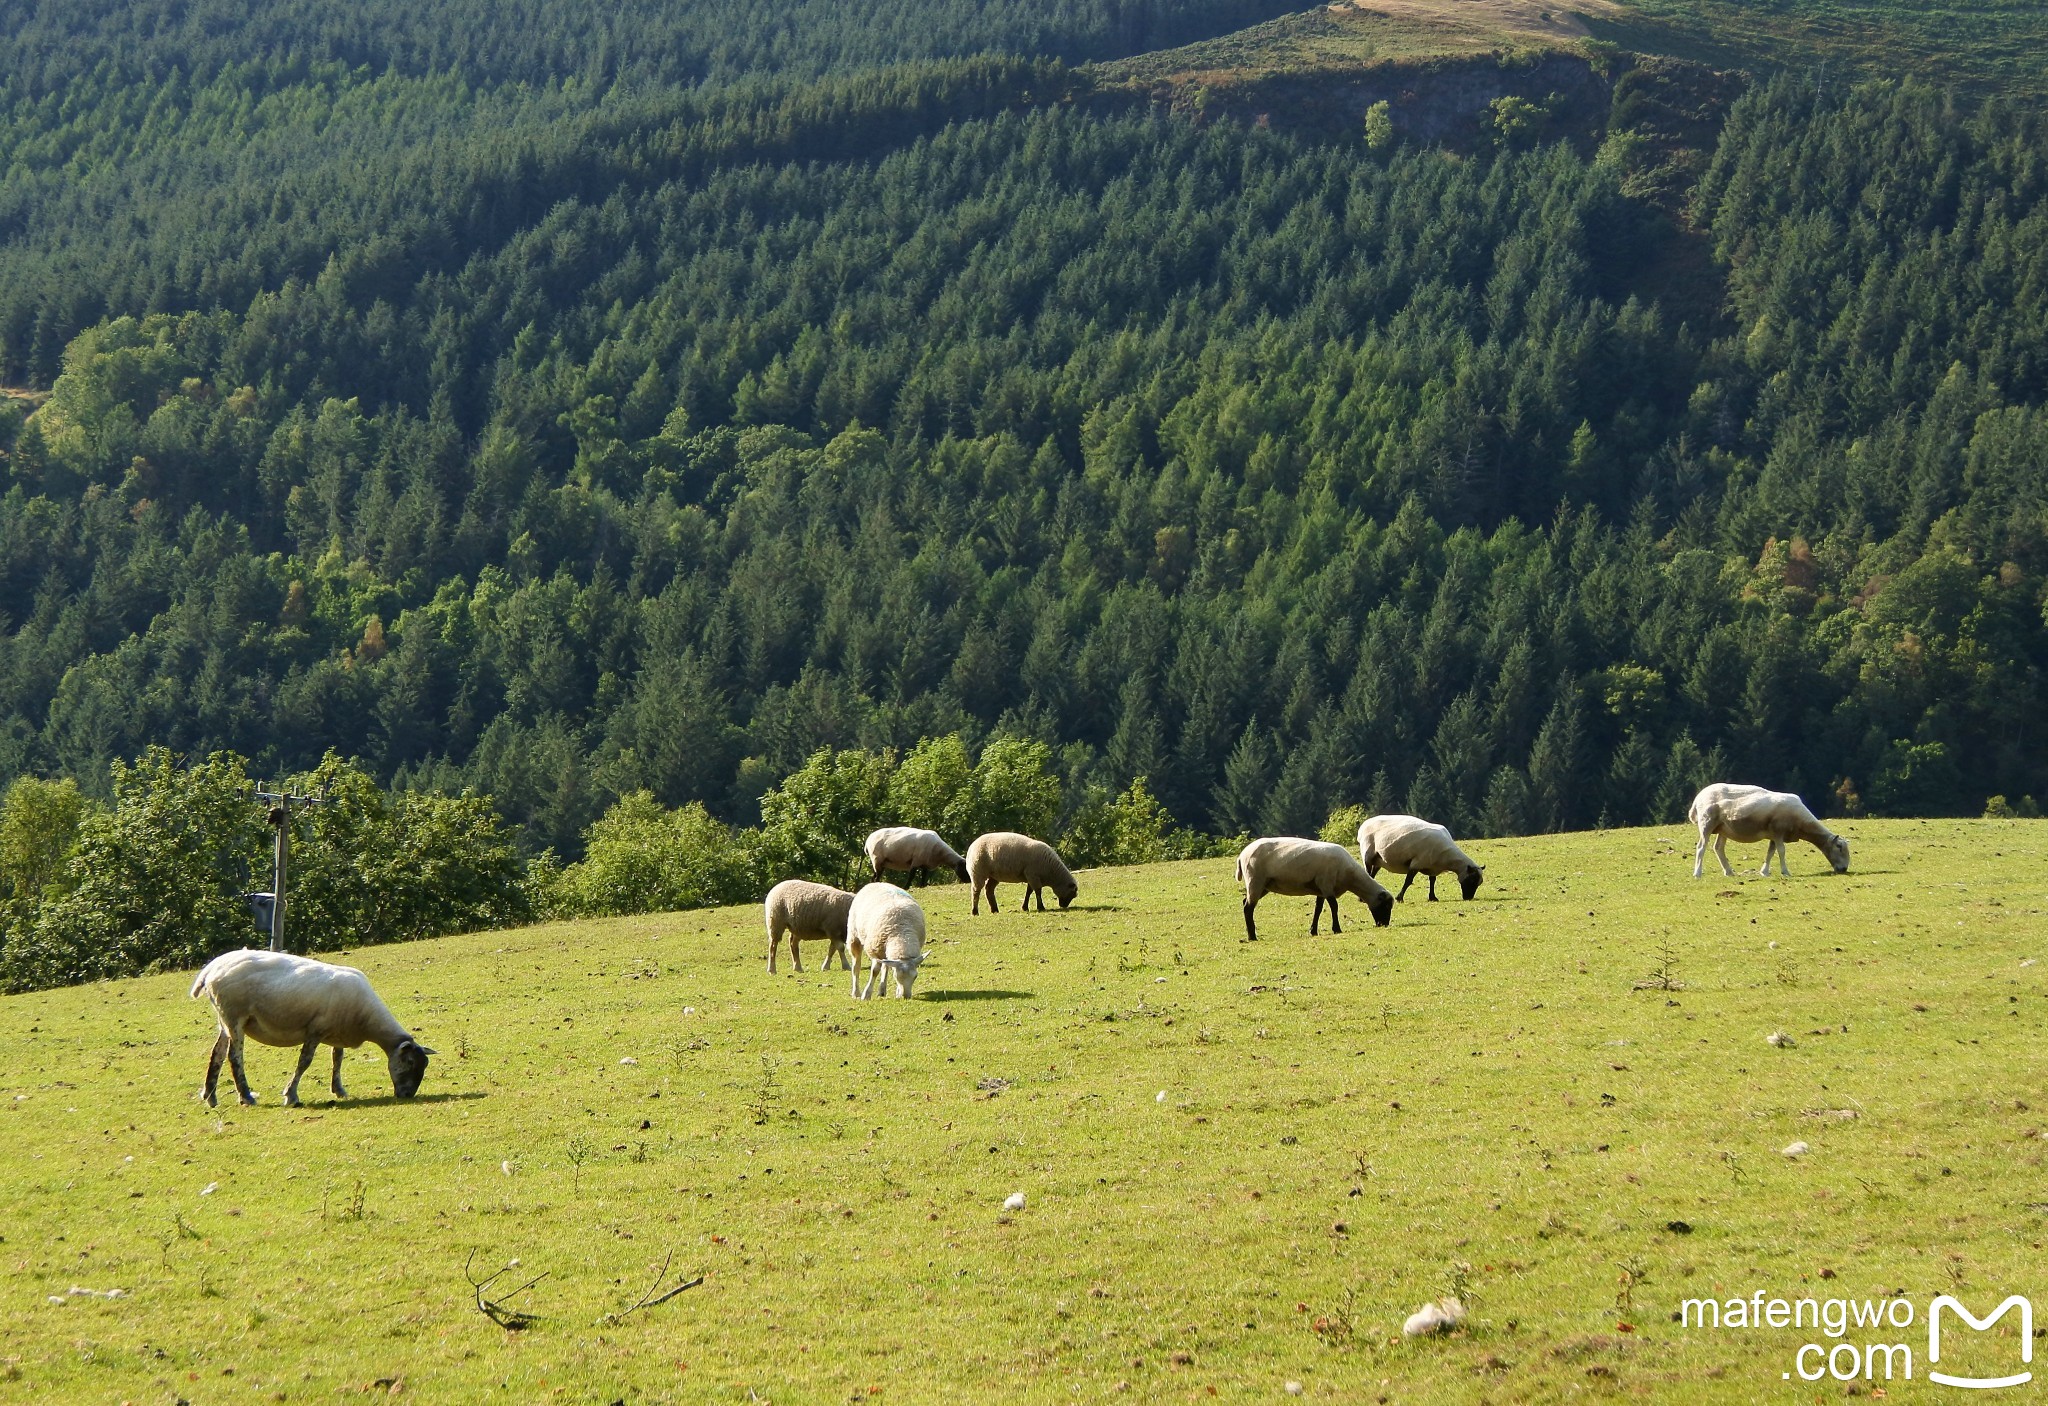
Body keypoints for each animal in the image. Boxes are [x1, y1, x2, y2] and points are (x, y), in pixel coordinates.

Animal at [190, 945, 434, 1113]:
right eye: (409, 1062)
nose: (407, 1095)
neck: (366, 1020)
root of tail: (211, 969)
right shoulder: (315, 1030)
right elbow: (305, 1062)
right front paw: (291, 1095)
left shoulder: (336, 1032)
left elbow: (338, 1059)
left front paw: (338, 1089)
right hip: (235, 1016)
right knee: (234, 1056)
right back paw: (246, 1096)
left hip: (224, 1019)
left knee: (218, 1053)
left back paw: (210, 1096)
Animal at [1228, 835, 1392, 945]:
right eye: (1385, 906)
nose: (1384, 924)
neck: (1349, 876)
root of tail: (1241, 856)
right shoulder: (1326, 884)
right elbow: (1334, 906)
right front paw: (1337, 929)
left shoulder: (1321, 889)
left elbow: (1318, 909)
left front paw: (1313, 931)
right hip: (1255, 880)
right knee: (1248, 907)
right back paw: (1252, 936)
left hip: (1263, 885)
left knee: (1245, 902)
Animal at [1359, 814, 1490, 900]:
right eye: (1472, 879)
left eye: (1479, 882)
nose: (1468, 898)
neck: (1447, 858)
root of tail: (1364, 824)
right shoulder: (1417, 862)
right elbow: (1408, 881)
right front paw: (1399, 898)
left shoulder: (1433, 867)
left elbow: (1432, 881)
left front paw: (1432, 897)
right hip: (1368, 853)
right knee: (1367, 872)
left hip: (1379, 859)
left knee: (1372, 874)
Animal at [1687, 781, 1851, 880]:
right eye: (1839, 847)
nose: (1844, 869)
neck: (1801, 823)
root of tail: (1699, 797)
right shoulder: (1778, 831)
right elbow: (1781, 851)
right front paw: (1785, 872)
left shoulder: (1774, 834)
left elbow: (1771, 852)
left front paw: (1764, 872)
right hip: (1707, 822)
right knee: (1701, 847)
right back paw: (1697, 873)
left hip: (1723, 828)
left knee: (1718, 848)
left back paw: (1729, 872)